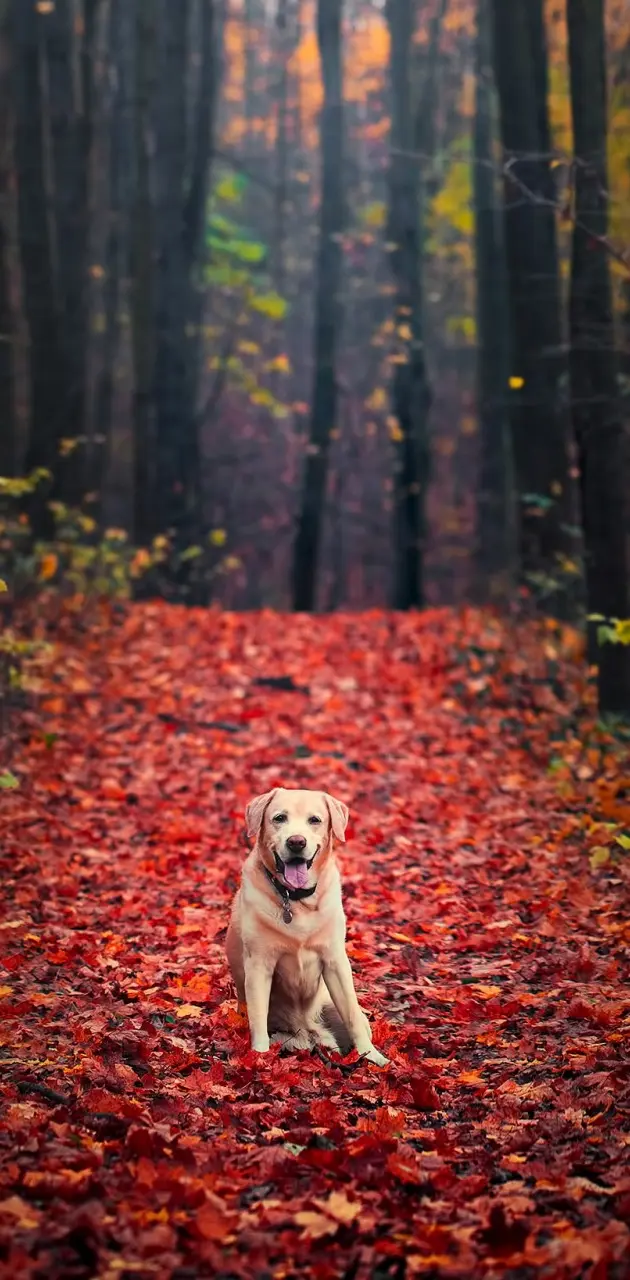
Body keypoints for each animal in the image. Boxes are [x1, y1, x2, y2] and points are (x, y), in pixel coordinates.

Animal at [224, 783, 386, 1064]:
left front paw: (373, 1058)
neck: (295, 900)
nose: (296, 842)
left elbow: (352, 1015)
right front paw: (259, 1059)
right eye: (279, 818)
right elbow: (258, 1020)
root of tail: (309, 1032)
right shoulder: (259, 966)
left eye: (315, 820)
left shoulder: (335, 961)